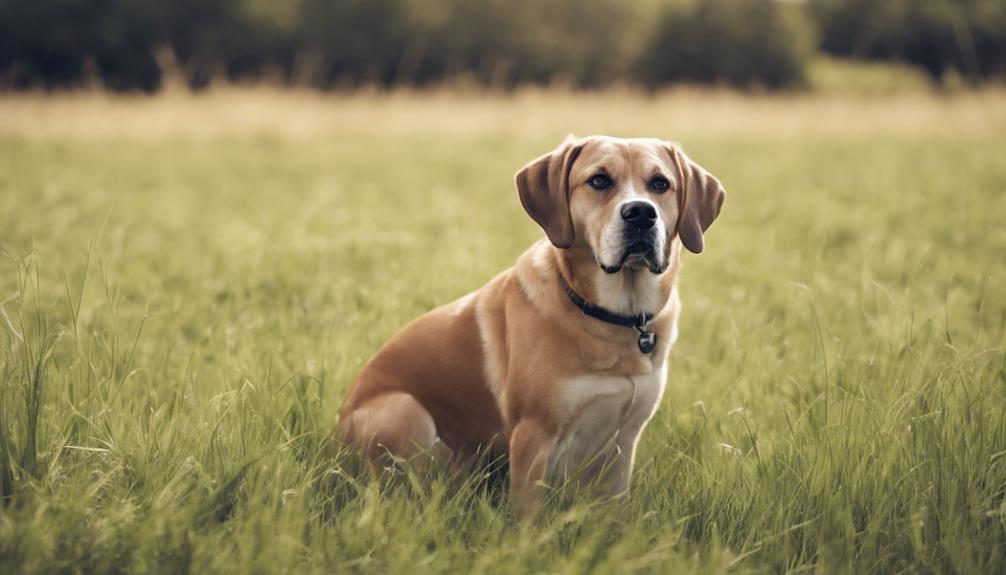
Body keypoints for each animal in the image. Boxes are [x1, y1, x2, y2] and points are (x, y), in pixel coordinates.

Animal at [336, 134, 724, 514]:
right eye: (599, 180)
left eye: (660, 184)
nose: (641, 213)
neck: (614, 317)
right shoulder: (533, 433)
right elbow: (528, 514)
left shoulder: (624, 440)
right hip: (406, 410)